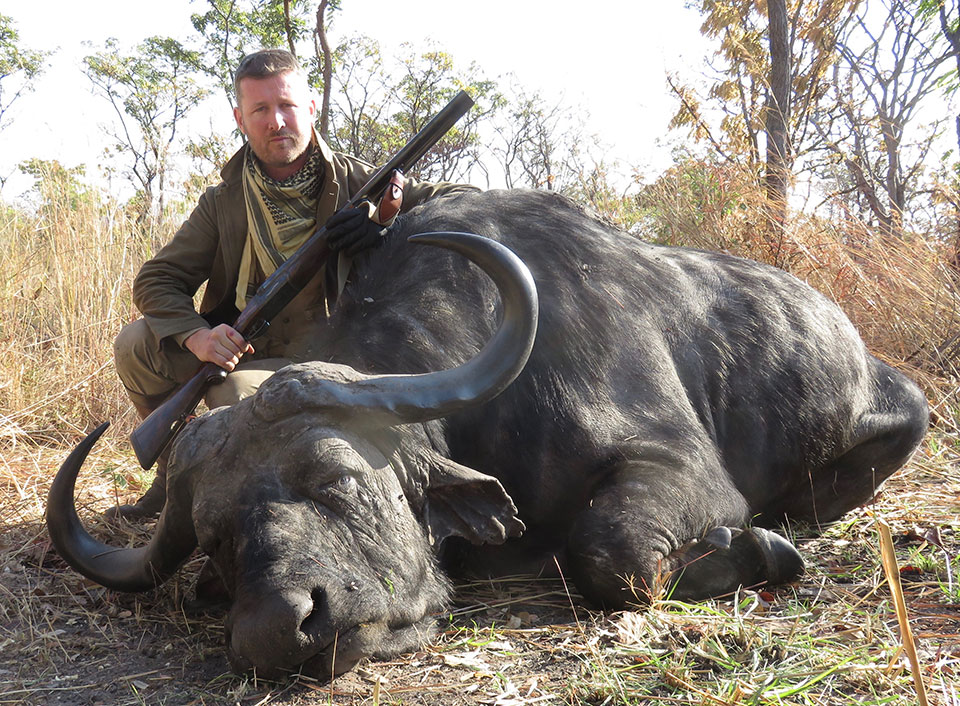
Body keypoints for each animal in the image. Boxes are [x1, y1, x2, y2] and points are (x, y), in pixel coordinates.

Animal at [47, 187, 928, 676]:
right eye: (216, 537)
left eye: (338, 479)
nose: (277, 630)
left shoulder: (681, 474)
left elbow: (612, 554)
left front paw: (757, 553)